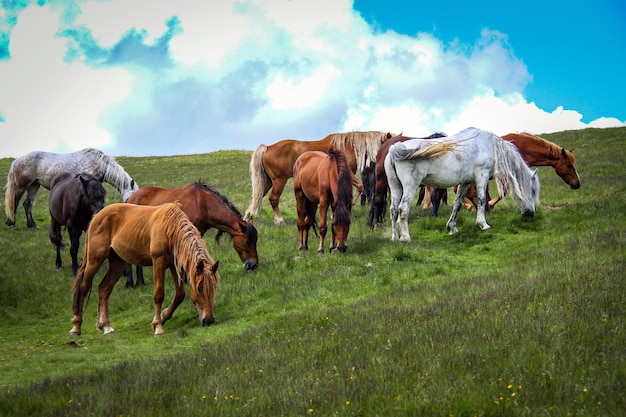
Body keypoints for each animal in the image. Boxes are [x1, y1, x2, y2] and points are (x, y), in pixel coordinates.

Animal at [5, 148, 138, 229]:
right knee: (15, 202)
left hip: (34, 185)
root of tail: (16, 161)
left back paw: (32, 225)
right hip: (22, 185)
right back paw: (11, 224)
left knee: (27, 204)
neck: (99, 164)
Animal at [68, 202, 218, 334]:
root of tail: (96, 217)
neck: (170, 229)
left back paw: (106, 326)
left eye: (213, 289)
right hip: (94, 260)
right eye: (199, 288)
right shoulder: (159, 262)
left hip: (118, 263)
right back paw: (76, 327)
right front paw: (158, 326)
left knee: (104, 288)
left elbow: (180, 295)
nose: (209, 320)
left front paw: (163, 317)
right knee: (83, 287)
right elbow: (159, 294)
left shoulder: (175, 266)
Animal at [124, 180, 258, 288]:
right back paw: (130, 283)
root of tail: (130, 198)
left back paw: (140, 281)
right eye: (247, 242)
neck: (203, 204)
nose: (253, 265)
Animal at [243, 131, 390, 226]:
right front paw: (349, 204)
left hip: (267, 181)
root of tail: (267, 147)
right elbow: (359, 186)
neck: (348, 146)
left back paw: (248, 218)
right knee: (273, 199)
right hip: (279, 180)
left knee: (255, 198)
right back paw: (279, 221)